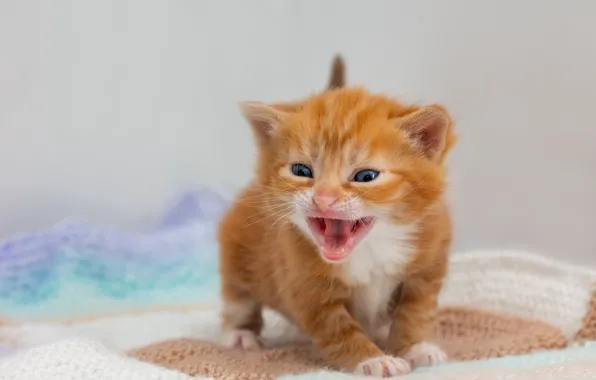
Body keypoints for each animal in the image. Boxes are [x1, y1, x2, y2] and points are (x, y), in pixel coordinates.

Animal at [219, 56, 456, 378]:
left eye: (365, 176)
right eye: (301, 171)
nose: (323, 199)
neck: (371, 249)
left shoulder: (428, 264)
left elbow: (416, 311)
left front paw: (415, 346)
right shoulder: (306, 285)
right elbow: (339, 330)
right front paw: (372, 359)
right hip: (237, 251)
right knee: (238, 298)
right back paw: (240, 333)